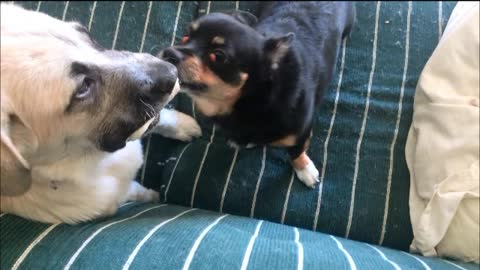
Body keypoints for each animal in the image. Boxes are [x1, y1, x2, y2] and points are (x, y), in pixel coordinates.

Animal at [0, 3, 201, 224]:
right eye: (83, 87)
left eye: (86, 33)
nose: (173, 72)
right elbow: (135, 190)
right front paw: (152, 196)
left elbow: (159, 119)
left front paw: (183, 125)